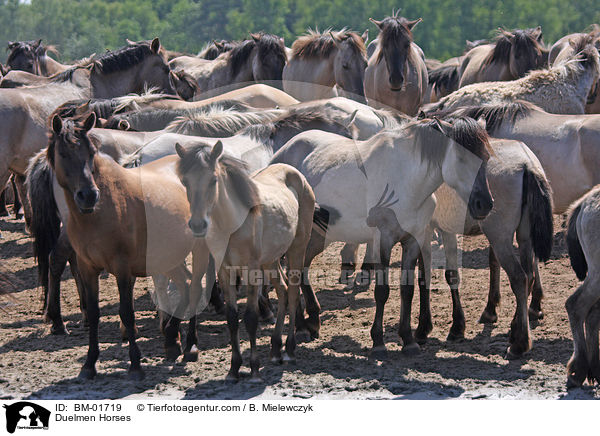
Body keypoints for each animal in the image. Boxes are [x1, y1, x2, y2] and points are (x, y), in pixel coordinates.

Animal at [46, 111, 209, 378]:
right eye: (63, 154)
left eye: (91, 153)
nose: (88, 195)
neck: (99, 212)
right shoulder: (87, 267)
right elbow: (94, 313)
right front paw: (89, 364)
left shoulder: (122, 268)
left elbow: (127, 313)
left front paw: (134, 363)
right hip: (167, 256)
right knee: (185, 284)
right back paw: (172, 342)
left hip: (198, 248)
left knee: (194, 286)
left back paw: (191, 346)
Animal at [176, 141, 316, 382]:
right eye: (185, 181)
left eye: (213, 180)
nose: (197, 225)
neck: (233, 224)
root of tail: (297, 174)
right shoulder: (225, 271)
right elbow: (232, 318)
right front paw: (234, 368)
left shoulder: (251, 270)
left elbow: (250, 318)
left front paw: (254, 369)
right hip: (271, 260)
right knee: (282, 290)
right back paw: (275, 349)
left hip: (296, 249)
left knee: (292, 292)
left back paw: (288, 350)